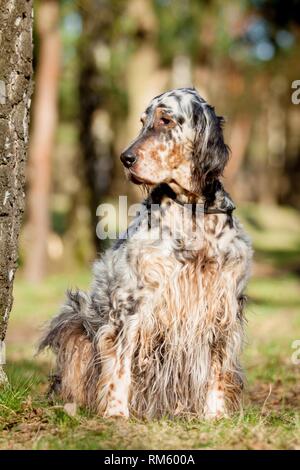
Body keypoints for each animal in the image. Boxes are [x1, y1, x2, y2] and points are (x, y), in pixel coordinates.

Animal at [39, 87, 251, 418]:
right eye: (142, 122)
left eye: (165, 120)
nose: (125, 158)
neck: (192, 213)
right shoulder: (130, 305)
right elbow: (119, 366)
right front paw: (116, 413)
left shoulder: (223, 302)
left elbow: (218, 367)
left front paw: (215, 415)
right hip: (74, 319)